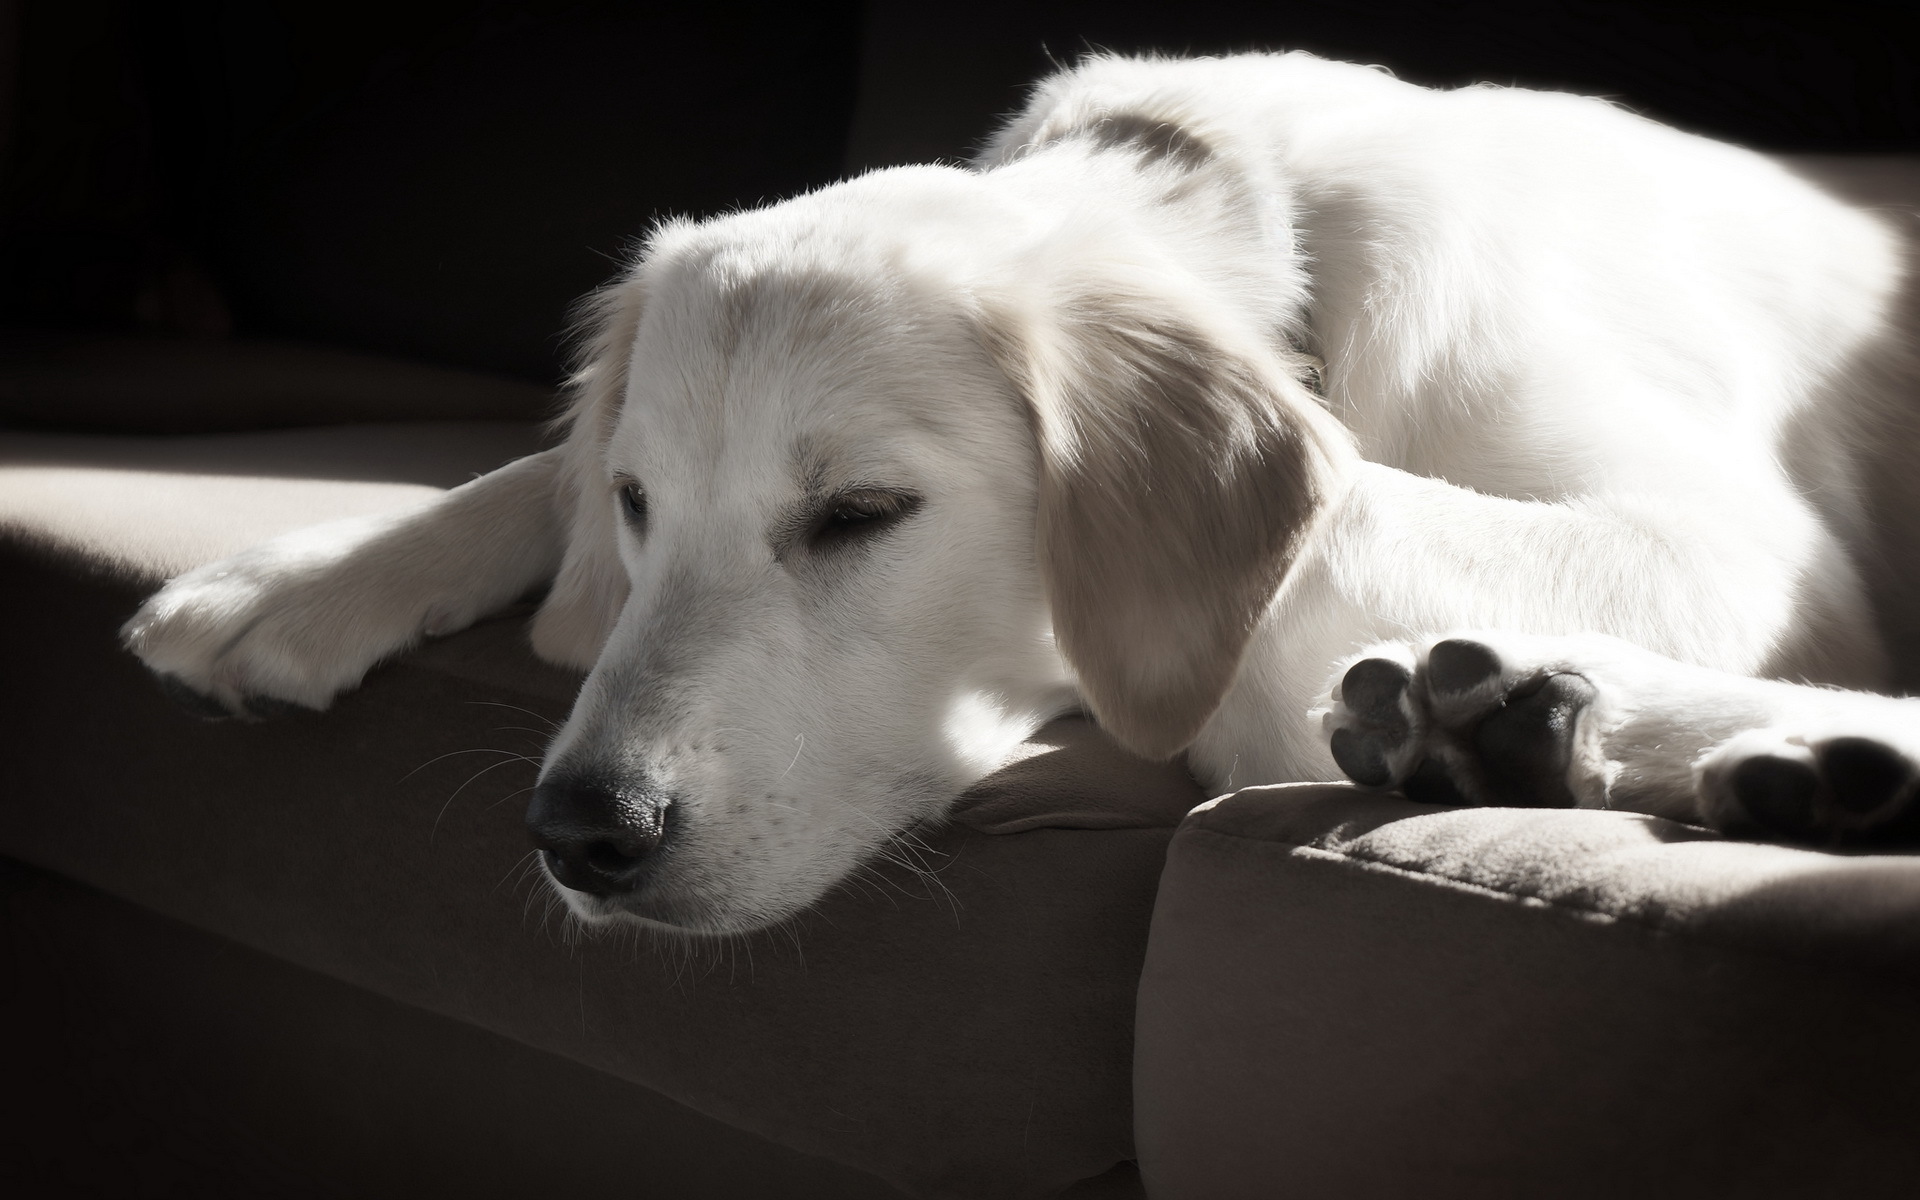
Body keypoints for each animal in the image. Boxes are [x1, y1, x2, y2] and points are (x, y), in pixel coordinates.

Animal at [123, 51, 1920, 933]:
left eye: (860, 516)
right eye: (640, 508)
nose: (582, 835)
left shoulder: (1747, 554)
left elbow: (1325, 537)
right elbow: (529, 469)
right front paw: (302, 579)